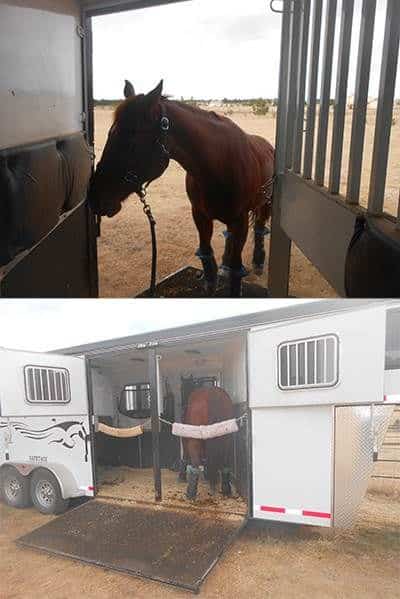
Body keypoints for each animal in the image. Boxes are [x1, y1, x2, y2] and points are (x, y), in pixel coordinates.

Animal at [88, 79, 276, 296]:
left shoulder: (240, 221)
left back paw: (258, 261)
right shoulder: (200, 216)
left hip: (265, 205)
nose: (94, 197)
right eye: (110, 135)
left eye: (131, 143)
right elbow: (207, 262)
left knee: (260, 228)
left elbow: (236, 273)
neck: (219, 166)